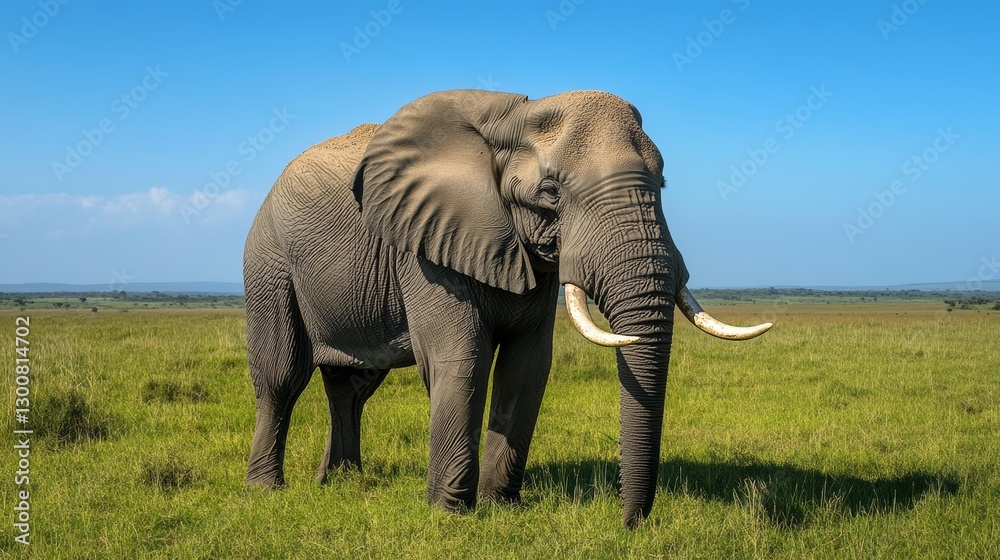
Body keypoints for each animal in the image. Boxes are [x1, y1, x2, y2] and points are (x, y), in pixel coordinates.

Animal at [242, 89, 771, 527]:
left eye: (662, 183)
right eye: (551, 192)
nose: (631, 525)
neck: (516, 117)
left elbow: (527, 366)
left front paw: (500, 507)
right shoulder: (428, 245)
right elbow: (463, 359)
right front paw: (450, 515)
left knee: (352, 386)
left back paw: (341, 482)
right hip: (268, 260)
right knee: (282, 374)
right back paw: (266, 490)